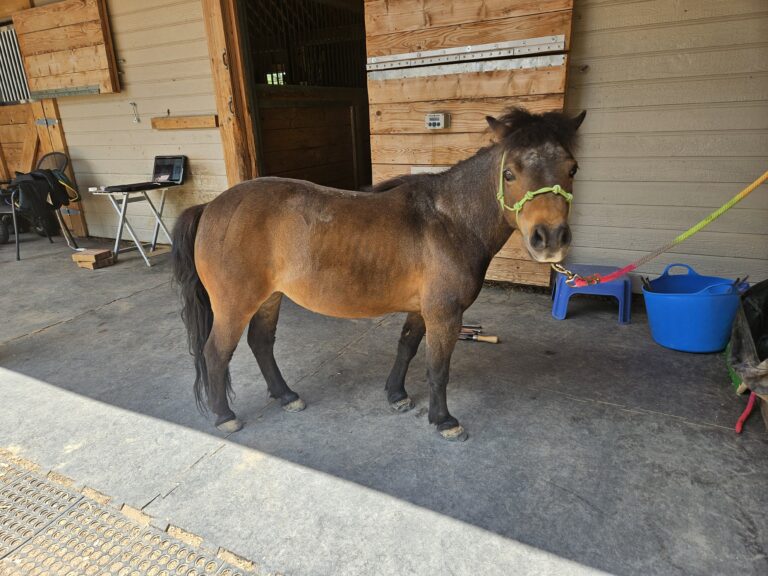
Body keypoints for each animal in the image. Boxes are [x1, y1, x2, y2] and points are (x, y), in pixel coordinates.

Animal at [171, 107, 586, 442]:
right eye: (510, 173)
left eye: (572, 168)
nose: (549, 239)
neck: (449, 220)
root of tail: (211, 206)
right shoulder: (444, 314)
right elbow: (438, 368)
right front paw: (443, 420)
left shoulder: (421, 310)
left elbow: (407, 348)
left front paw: (396, 395)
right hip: (235, 304)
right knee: (216, 352)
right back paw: (225, 416)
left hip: (270, 298)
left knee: (261, 342)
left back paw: (287, 395)